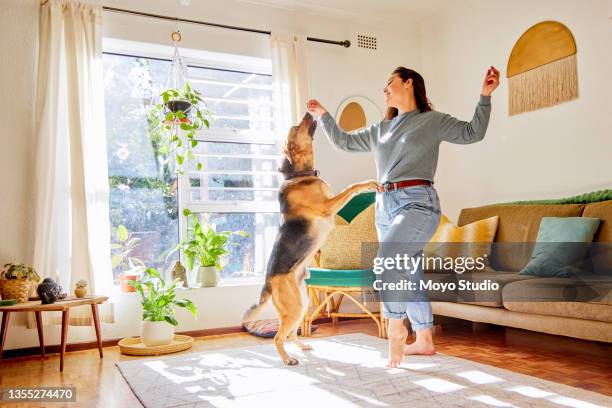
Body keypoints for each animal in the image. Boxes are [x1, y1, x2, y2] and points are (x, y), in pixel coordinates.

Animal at [240, 112, 378, 366]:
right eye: (296, 128)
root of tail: (268, 282)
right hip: (294, 307)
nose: (308, 111)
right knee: (279, 337)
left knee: (292, 333)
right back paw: (287, 359)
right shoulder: (328, 206)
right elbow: (353, 187)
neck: (298, 175)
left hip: (301, 303)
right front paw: (369, 184)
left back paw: (302, 347)